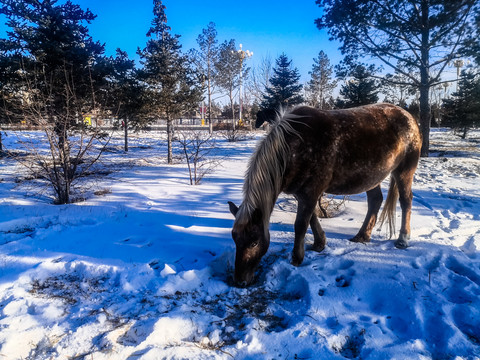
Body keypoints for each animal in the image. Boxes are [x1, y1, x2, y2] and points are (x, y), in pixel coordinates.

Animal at [229, 102, 420, 286]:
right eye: (235, 239)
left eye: (254, 242)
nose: (239, 281)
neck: (294, 148)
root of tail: (408, 116)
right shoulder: (303, 193)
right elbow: (311, 218)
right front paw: (319, 244)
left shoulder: (311, 192)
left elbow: (301, 224)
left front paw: (297, 258)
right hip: (372, 177)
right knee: (375, 200)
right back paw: (362, 235)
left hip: (404, 171)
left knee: (406, 201)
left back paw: (403, 239)